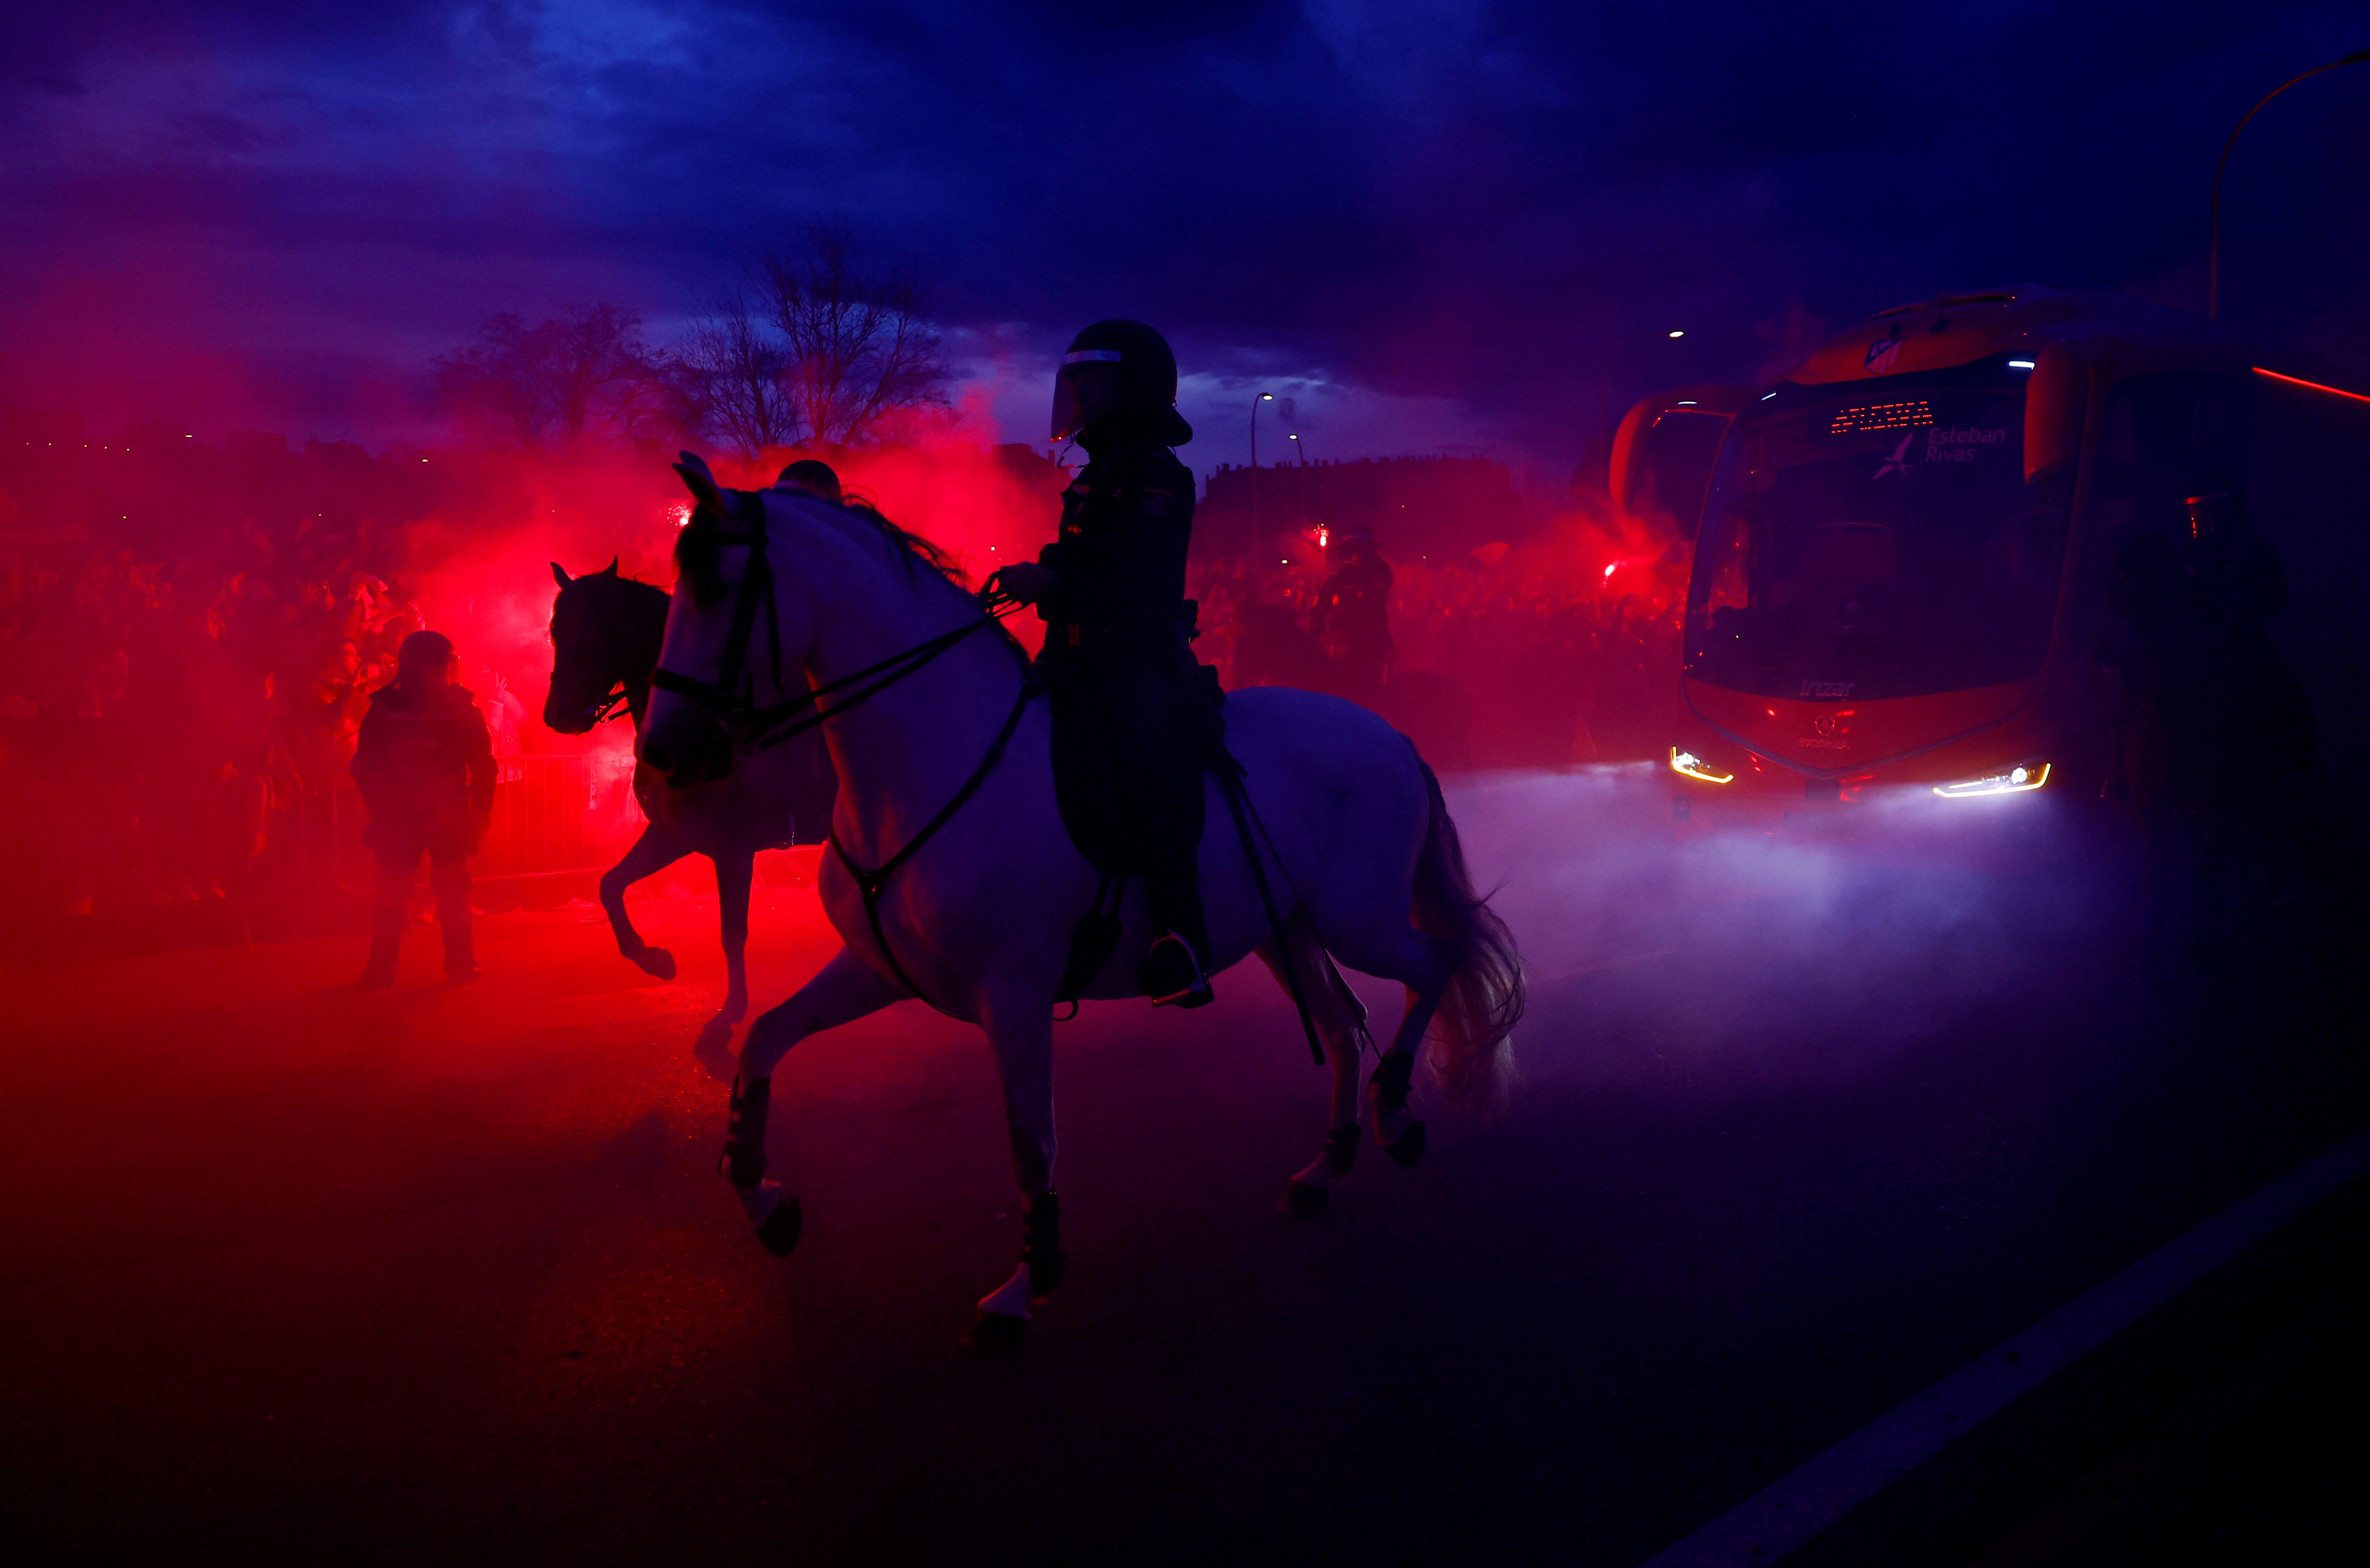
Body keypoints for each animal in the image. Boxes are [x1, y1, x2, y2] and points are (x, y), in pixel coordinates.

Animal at [640, 457, 1517, 1355]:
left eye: (720, 587)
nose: (663, 751)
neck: (936, 756)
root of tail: (1391, 734)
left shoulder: (1014, 996)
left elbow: (1031, 1140)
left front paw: (1024, 1287)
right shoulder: (876, 969)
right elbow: (765, 1038)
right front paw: (765, 1201)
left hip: (1357, 920)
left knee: (1434, 965)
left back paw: (1395, 1114)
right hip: (1288, 930)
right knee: (1343, 1025)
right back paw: (1325, 1165)